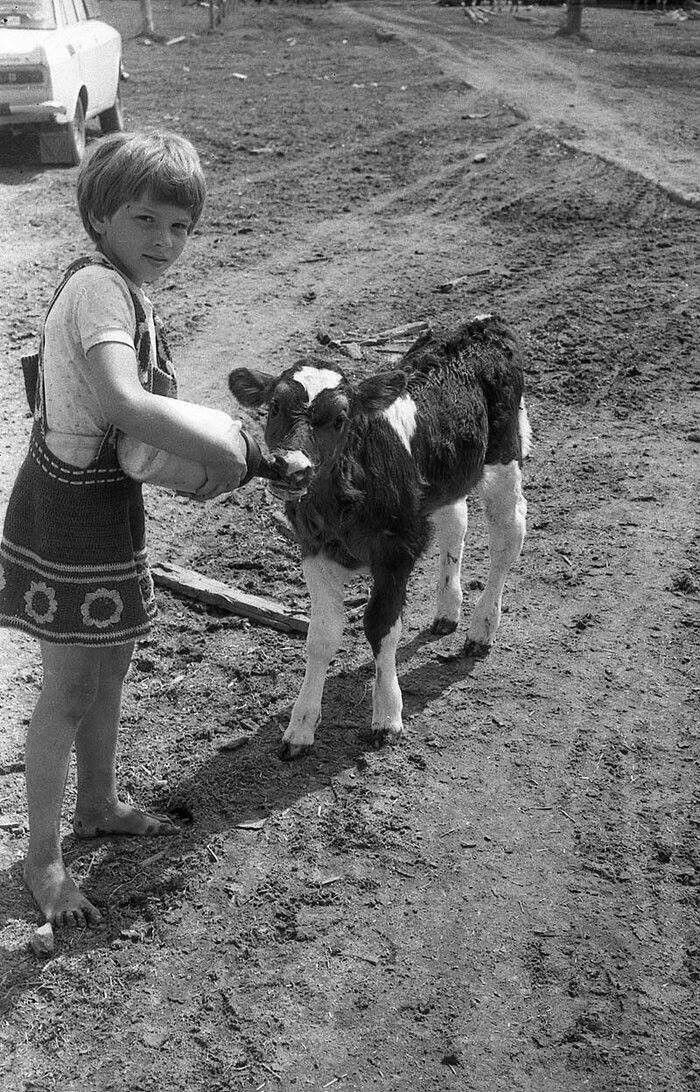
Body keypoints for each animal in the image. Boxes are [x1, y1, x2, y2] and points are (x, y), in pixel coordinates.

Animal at [229, 314, 528, 760]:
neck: (342, 499)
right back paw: (447, 610)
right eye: (274, 407)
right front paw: (300, 727)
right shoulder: (314, 551)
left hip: (504, 453)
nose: (290, 466)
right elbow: (321, 636)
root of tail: (483, 323)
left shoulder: (396, 549)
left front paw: (387, 716)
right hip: (448, 474)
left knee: (508, 534)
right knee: (456, 519)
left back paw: (481, 628)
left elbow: (381, 625)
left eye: (340, 418)